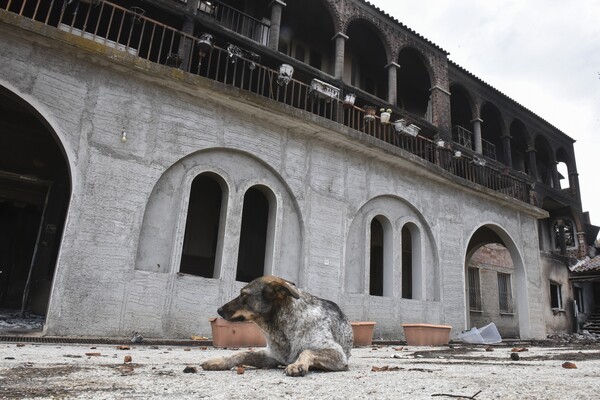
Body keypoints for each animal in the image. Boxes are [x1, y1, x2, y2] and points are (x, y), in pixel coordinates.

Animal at [202, 276, 352, 376]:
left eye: (243, 295)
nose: (219, 310)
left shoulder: (337, 354)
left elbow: (306, 351)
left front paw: (297, 364)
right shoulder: (271, 357)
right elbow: (241, 353)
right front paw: (219, 361)